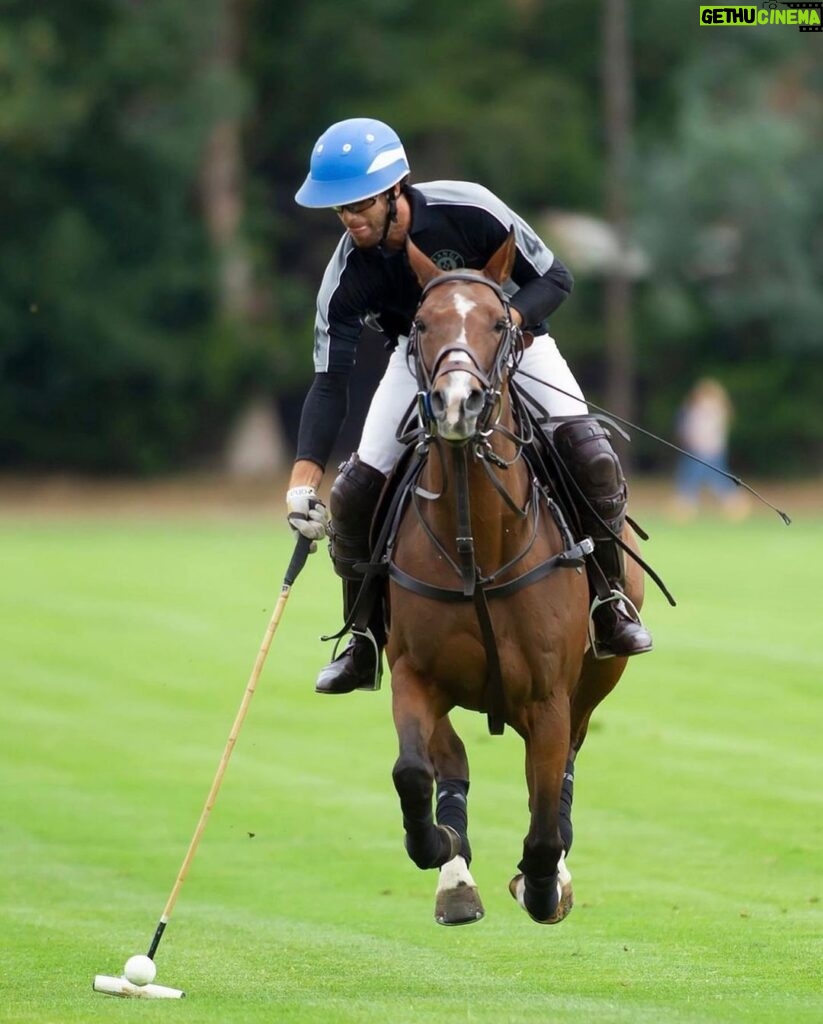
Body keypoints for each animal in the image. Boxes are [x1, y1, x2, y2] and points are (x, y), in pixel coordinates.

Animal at [384, 232, 642, 929]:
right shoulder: (413, 675)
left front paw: (544, 884)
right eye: (420, 323)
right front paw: (439, 846)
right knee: (450, 758)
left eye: (499, 324)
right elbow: (413, 772)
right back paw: (455, 878)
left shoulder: (550, 696)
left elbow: (546, 816)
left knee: (565, 765)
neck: (479, 542)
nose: (456, 404)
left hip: (596, 678)